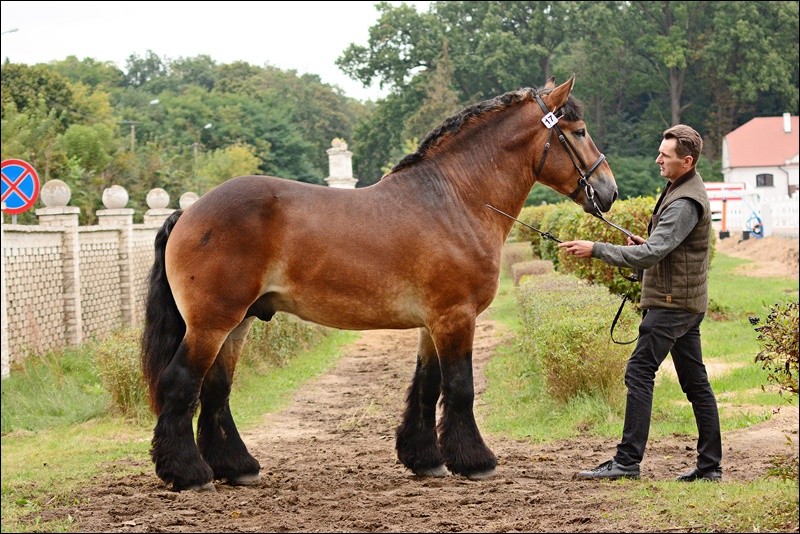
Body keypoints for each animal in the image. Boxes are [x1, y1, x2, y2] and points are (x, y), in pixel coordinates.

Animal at [142, 77, 620, 492]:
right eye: (578, 132)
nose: (608, 191)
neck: (456, 200)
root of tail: (188, 213)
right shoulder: (456, 317)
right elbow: (459, 387)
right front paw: (475, 461)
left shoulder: (433, 323)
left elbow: (427, 387)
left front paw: (425, 459)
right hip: (211, 323)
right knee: (181, 384)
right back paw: (189, 474)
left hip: (237, 323)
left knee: (215, 390)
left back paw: (236, 467)